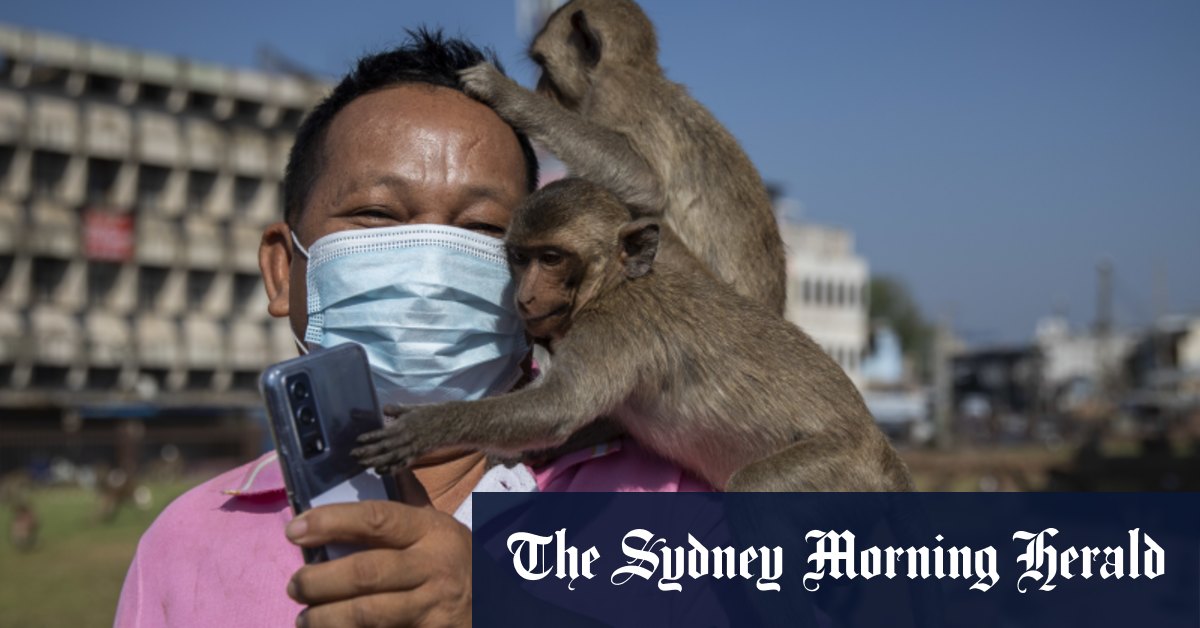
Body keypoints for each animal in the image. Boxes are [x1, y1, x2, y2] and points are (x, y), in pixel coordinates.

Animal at [354, 178, 912, 492]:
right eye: (519, 257)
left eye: (550, 259)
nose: (524, 297)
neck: (611, 287)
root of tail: (887, 456)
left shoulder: (611, 330)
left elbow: (558, 409)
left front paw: (427, 426)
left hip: (838, 466)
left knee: (754, 487)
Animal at [457, 0, 788, 316]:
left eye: (543, 66)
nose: (539, 90)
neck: (635, 69)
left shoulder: (610, 92)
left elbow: (645, 182)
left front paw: (506, 93)